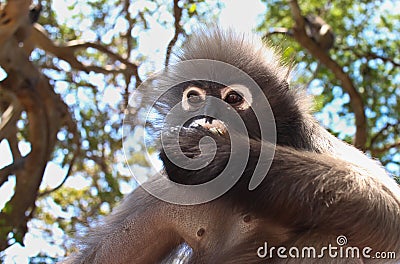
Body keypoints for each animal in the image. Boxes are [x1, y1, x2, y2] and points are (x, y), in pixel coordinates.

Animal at [65, 27, 400, 262]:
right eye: (194, 97)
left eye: (234, 98)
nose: (209, 116)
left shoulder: (315, 143)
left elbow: (388, 208)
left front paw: (224, 154)